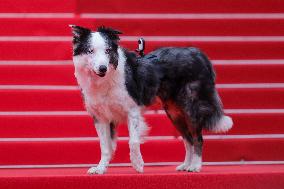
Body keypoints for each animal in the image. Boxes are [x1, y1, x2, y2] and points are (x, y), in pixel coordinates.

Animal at [69, 25, 233, 174]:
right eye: (90, 51)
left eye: (108, 51)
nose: (103, 68)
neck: (105, 79)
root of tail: (198, 54)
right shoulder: (101, 117)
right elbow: (105, 147)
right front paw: (100, 168)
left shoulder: (132, 110)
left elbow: (133, 141)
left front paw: (137, 164)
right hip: (174, 113)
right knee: (188, 139)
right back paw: (186, 165)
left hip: (191, 107)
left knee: (197, 138)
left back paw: (196, 166)